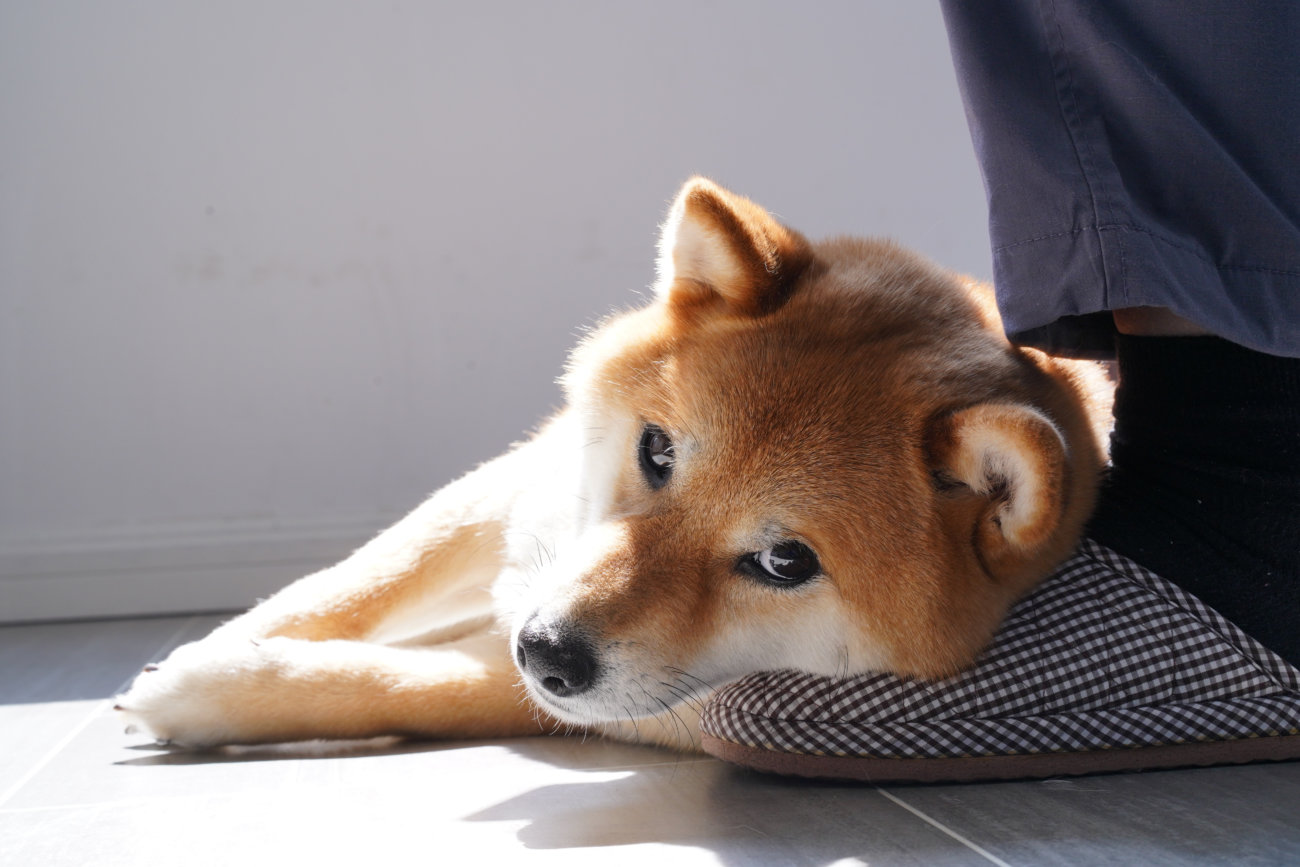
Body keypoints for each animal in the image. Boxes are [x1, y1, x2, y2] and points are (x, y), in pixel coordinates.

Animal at [114, 178, 1107, 753]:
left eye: (786, 561)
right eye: (656, 450)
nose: (548, 649)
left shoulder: (614, 694)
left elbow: (402, 680)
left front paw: (208, 692)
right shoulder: (513, 490)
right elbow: (346, 586)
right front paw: (222, 645)